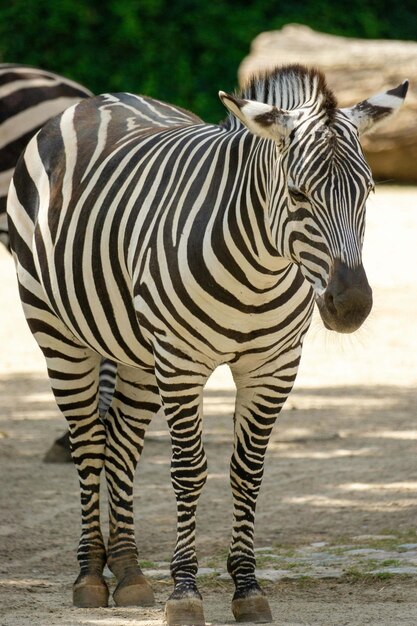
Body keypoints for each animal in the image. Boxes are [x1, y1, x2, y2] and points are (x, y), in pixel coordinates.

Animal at [8, 66, 406, 620]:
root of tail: (99, 99)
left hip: (137, 352)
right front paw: (185, 593)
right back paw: (90, 576)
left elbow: (247, 472)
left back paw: (129, 572)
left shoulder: (273, 368)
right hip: (58, 334)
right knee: (88, 443)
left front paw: (247, 587)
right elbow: (189, 471)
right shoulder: (181, 364)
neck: (261, 269)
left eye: (367, 192)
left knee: (122, 443)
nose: (351, 305)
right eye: (298, 194)